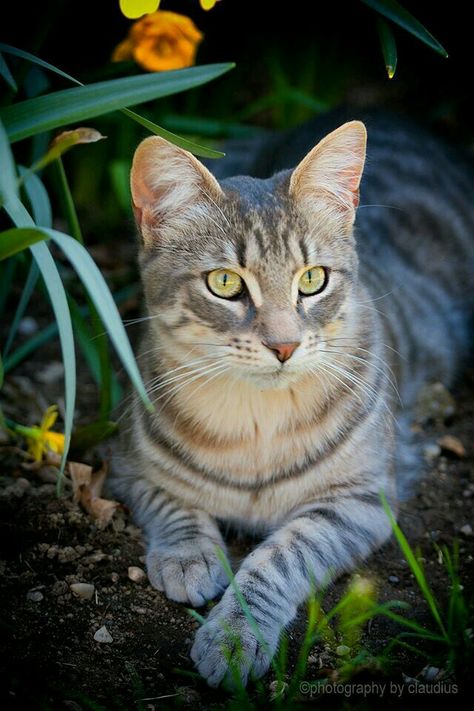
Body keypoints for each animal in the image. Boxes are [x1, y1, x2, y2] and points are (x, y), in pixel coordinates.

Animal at [110, 112, 474, 688]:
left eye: (312, 279)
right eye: (224, 282)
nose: (283, 345)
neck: (256, 425)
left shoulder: (361, 501)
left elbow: (282, 554)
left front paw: (235, 635)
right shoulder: (126, 463)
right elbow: (173, 503)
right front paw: (188, 557)